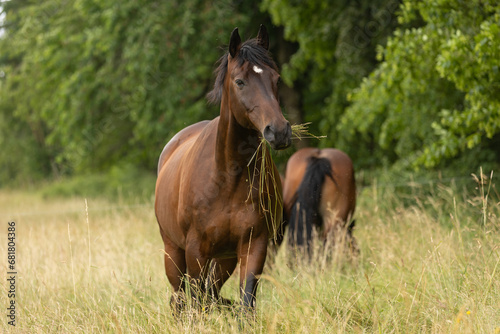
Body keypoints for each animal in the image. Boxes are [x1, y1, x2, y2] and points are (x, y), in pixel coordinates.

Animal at [154, 26, 292, 314]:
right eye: (240, 81)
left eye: (276, 79)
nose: (279, 131)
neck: (227, 178)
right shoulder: (196, 250)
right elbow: (196, 302)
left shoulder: (254, 245)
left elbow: (246, 302)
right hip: (173, 251)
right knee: (180, 298)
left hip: (224, 260)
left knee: (209, 294)